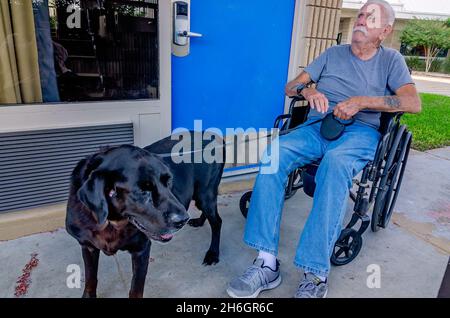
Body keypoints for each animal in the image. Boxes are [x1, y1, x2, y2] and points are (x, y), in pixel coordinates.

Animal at [67, 132, 225, 298]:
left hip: (205, 194)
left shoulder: (141, 250)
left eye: (168, 182)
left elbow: (136, 288)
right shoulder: (88, 247)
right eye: (143, 191)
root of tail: (214, 136)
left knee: (217, 222)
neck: (111, 222)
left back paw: (213, 254)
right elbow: (90, 278)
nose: (183, 220)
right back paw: (199, 222)